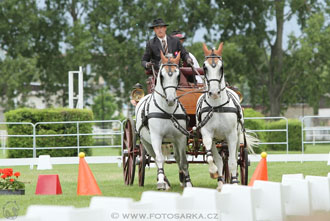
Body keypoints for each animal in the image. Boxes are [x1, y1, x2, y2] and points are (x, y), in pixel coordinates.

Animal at [135, 51, 193, 189]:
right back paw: (164, 180)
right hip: (146, 142)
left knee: (177, 157)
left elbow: (183, 161)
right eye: (161, 75)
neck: (168, 111)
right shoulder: (156, 136)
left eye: (178, 75)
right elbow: (160, 158)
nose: (170, 99)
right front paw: (161, 182)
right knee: (154, 158)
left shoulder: (181, 137)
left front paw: (187, 182)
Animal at [196, 42, 258, 191]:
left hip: (236, 137)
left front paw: (234, 183)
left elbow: (233, 162)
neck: (217, 106)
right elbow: (212, 158)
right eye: (204, 67)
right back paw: (220, 182)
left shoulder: (232, 135)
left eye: (221, 67)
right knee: (219, 159)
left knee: (234, 158)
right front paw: (213, 173)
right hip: (217, 140)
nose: (213, 92)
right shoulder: (207, 134)